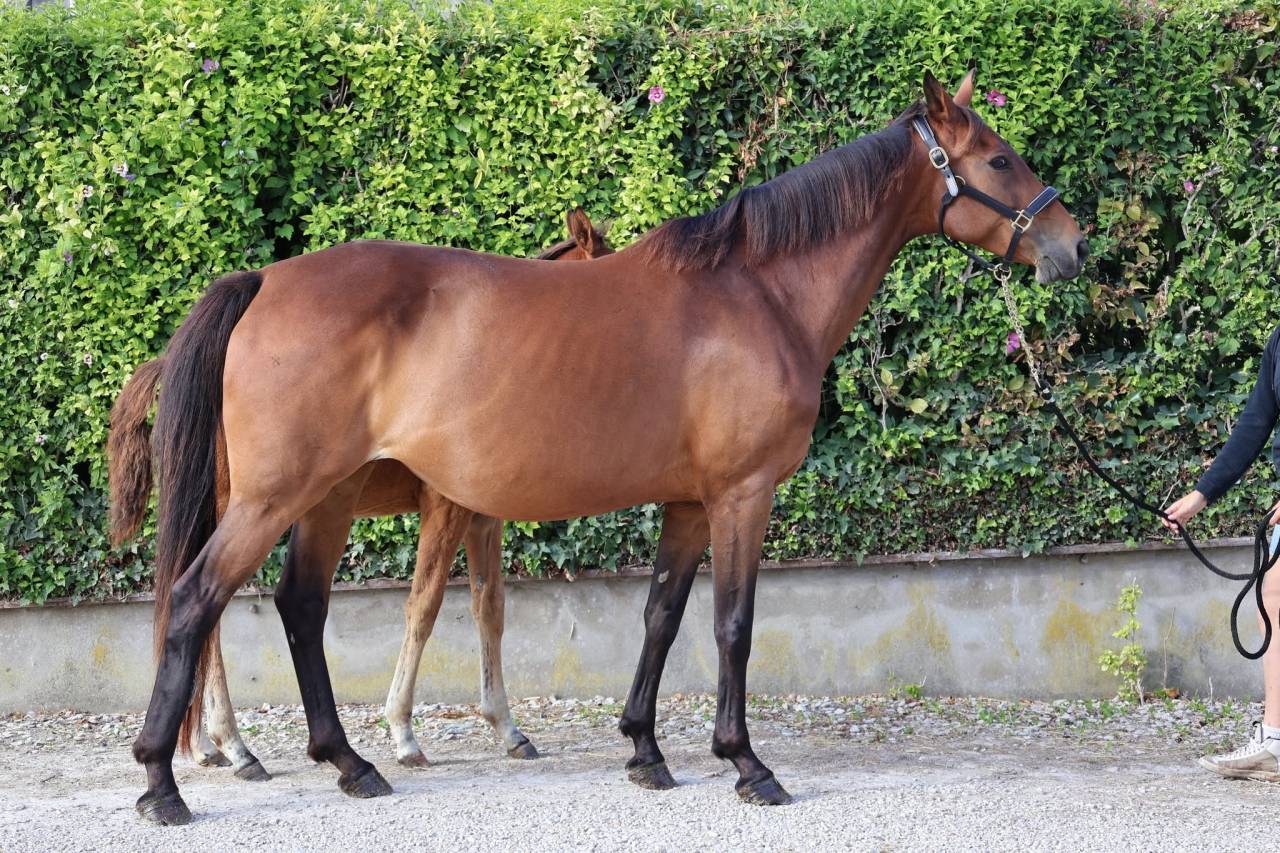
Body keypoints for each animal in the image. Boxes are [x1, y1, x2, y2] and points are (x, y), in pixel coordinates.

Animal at [107, 209, 611, 782]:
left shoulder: (482, 517)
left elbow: (491, 608)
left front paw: (506, 726)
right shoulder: (445, 509)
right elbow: (424, 605)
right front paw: (403, 731)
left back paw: (207, 745)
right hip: (250, 506)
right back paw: (233, 744)